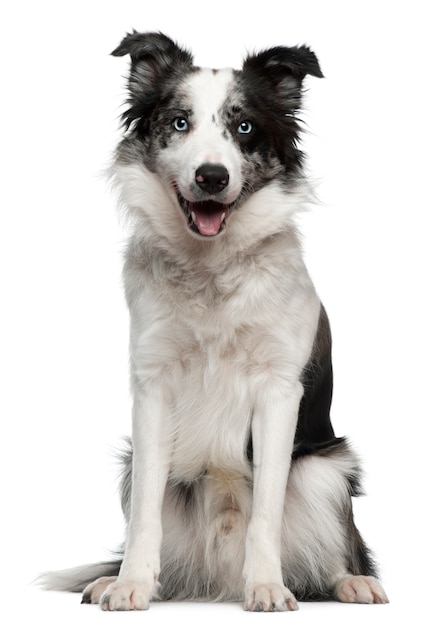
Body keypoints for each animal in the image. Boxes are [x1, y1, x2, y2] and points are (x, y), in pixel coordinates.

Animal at [41, 30, 388, 608]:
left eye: (244, 127)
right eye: (179, 122)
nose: (211, 176)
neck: (211, 269)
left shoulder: (278, 391)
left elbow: (267, 509)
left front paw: (267, 586)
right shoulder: (153, 385)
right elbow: (145, 515)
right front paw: (132, 583)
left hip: (326, 469)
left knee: (338, 544)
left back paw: (352, 582)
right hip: (132, 466)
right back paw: (115, 578)